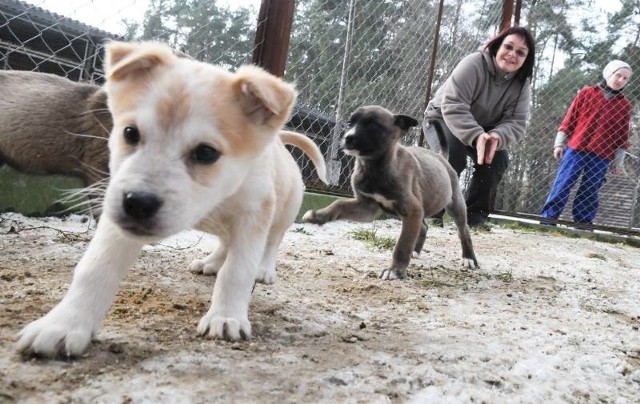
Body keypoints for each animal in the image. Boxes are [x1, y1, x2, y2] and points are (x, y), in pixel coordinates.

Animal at [17, 40, 328, 356]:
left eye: (206, 153)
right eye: (130, 133)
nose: (138, 203)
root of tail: (281, 142)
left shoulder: (253, 216)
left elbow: (237, 272)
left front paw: (226, 317)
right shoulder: (118, 220)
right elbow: (95, 269)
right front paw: (64, 324)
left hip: (282, 215)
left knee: (271, 243)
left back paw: (262, 270)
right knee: (225, 243)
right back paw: (211, 262)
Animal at [302, 105, 478, 280]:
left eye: (373, 125)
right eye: (350, 123)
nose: (347, 138)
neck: (375, 167)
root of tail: (441, 158)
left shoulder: (412, 210)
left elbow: (402, 244)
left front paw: (395, 270)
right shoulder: (367, 207)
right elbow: (339, 203)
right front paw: (318, 216)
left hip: (455, 205)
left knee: (463, 232)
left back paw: (469, 258)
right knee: (424, 227)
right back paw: (416, 251)